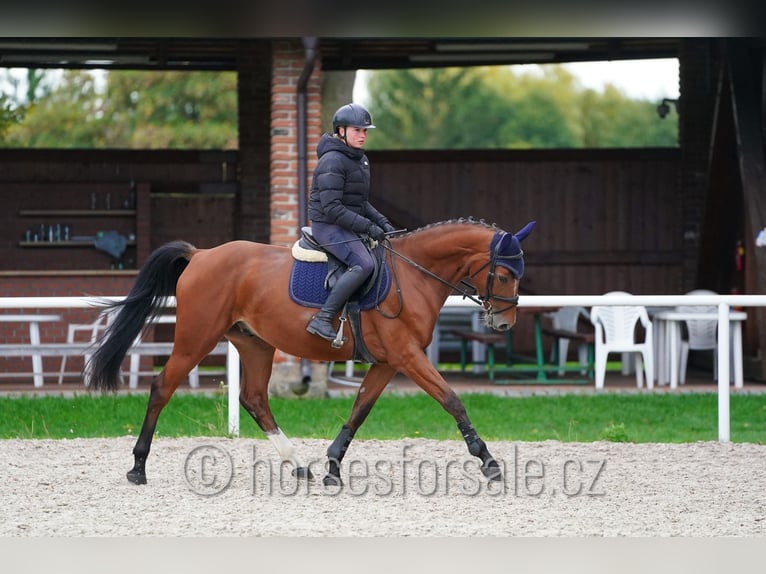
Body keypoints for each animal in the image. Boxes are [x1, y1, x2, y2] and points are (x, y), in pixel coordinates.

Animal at [87, 217, 535, 487]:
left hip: (255, 344)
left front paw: (333, 465)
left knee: (254, 399)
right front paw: (489, 461)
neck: (412, 273)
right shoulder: (408, 357)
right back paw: (138, 467)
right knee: (162, 388)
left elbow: (359, 409)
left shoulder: (388, 362)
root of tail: (201, 255)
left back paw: (297, 463)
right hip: (196, 338)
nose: (503, 325)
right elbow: (452, 399)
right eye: (504, 274)